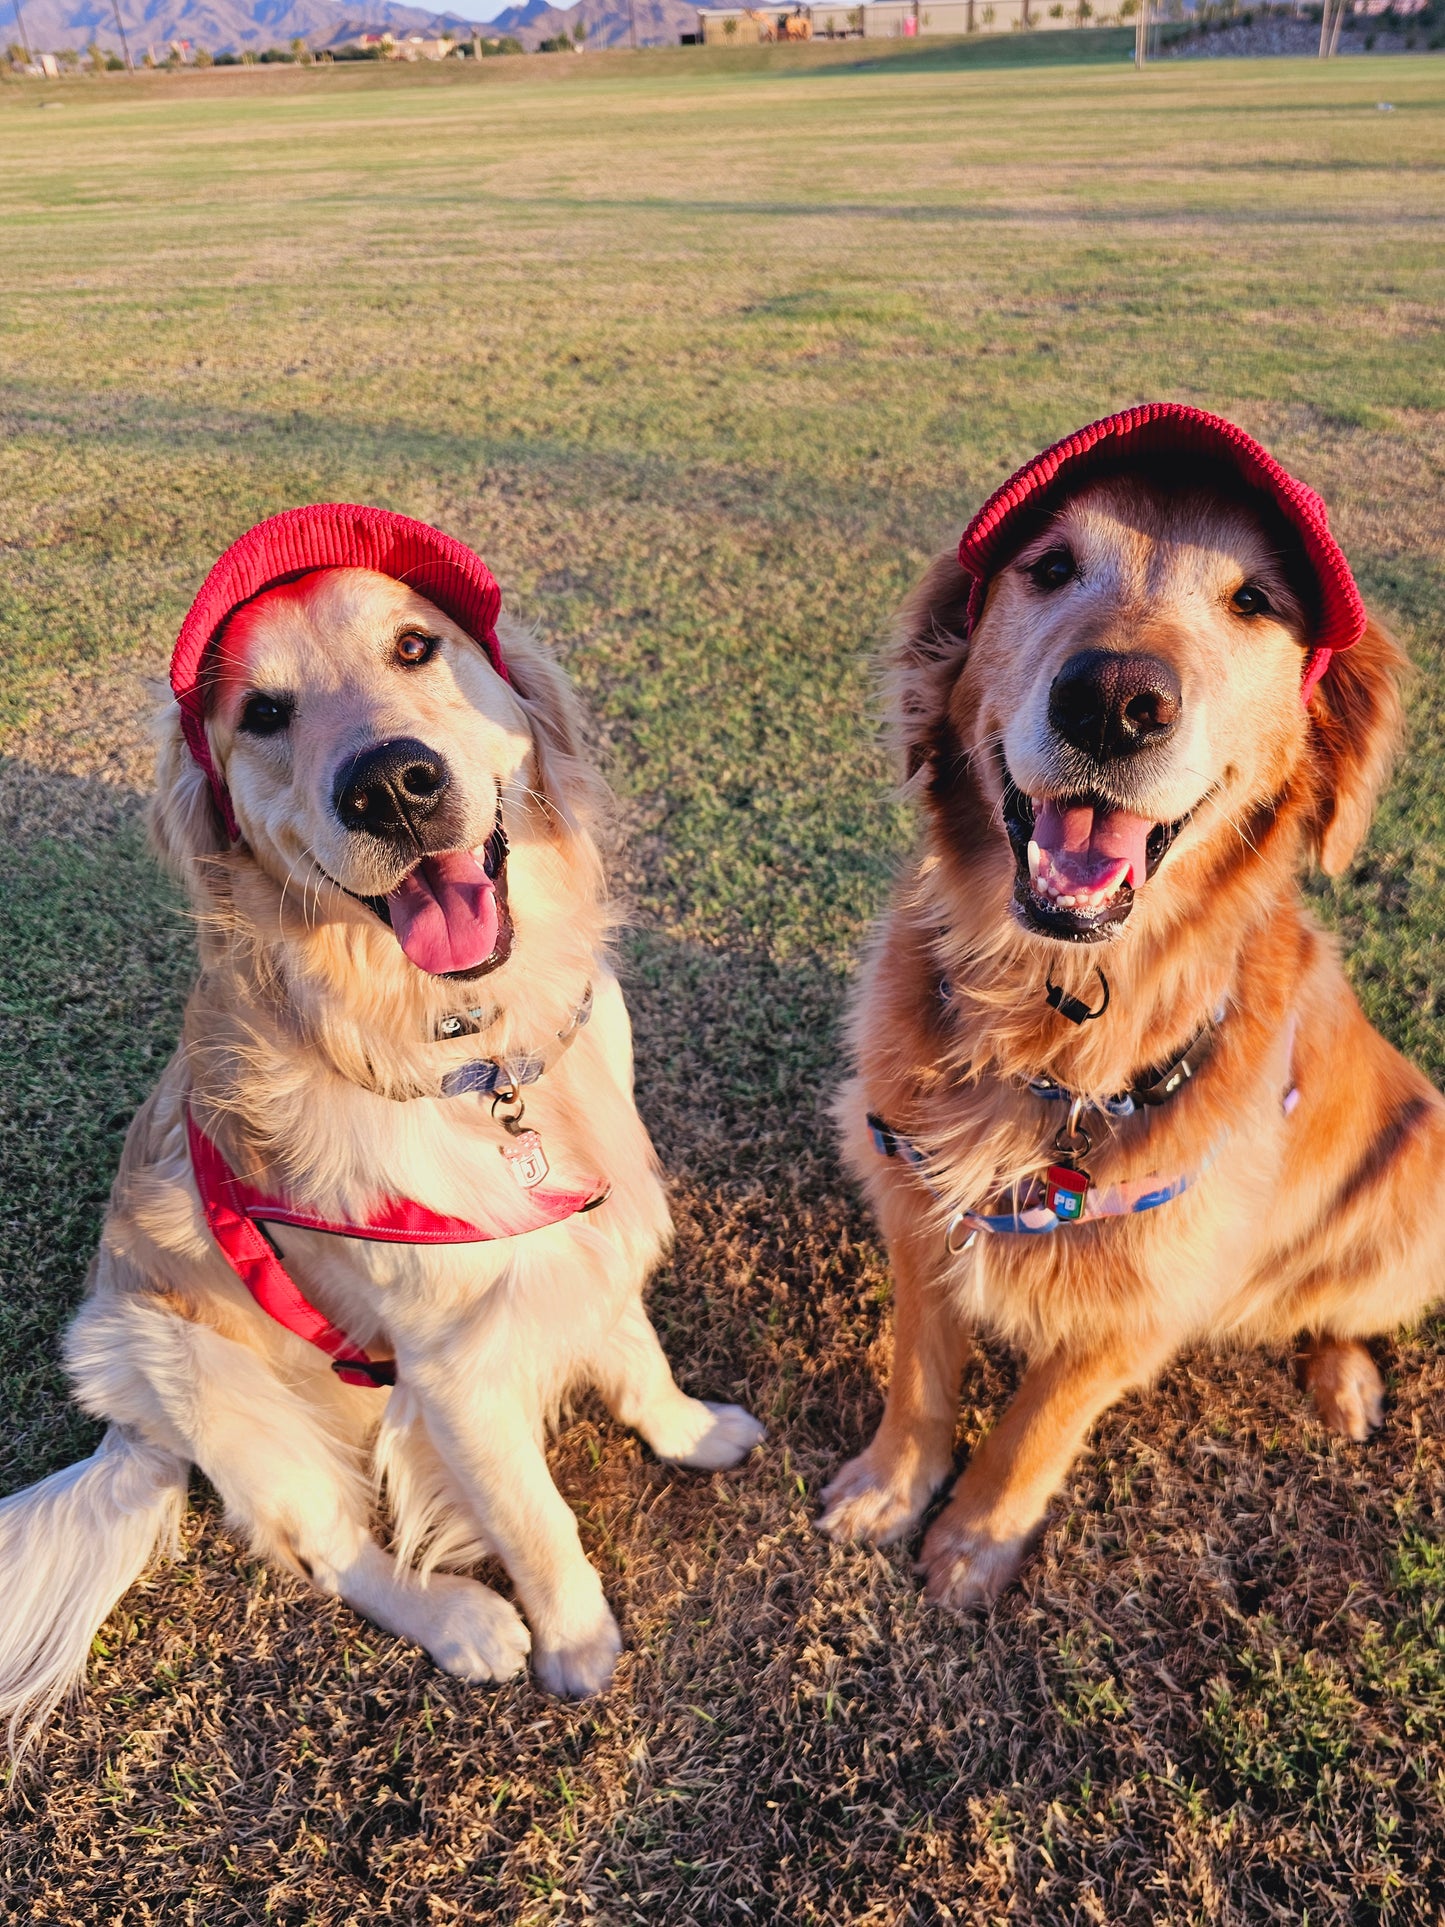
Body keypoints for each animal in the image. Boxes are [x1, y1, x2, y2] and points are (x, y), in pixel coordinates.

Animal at [0, 501, 762, 1749]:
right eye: (262, 714)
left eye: (415, 645)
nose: (391, 788)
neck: (472, 1051)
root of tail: (139, 1434)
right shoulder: (453, 1370)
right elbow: (536, 1522)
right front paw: (578, 1647)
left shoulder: (587, 1228)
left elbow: (638, 1357)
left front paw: (693, 1431)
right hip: (169, 1357)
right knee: (320, 1546)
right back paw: (463, 1620)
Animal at [820, 402, 1441, 1610]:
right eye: (1049, 566)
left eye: (1253, 601)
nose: (1113, 701)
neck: (1056, 1027)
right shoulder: (915, 1199)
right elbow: (918, 1376)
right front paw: (891, 1486)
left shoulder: (1147, 1295)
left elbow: (1035, 1424)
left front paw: (974, 1539)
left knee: (1337, 1310)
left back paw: (1344, 1380)